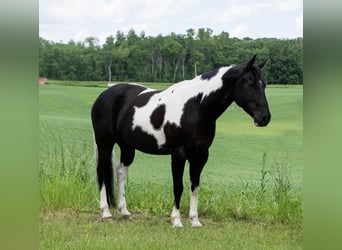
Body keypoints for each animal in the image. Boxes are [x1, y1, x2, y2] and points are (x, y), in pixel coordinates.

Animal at [91, 54, 270, 227]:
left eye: (264, 85)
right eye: (250, 83)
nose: (265, 118)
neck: (195, 107)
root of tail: (105, 95)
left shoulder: (201, 154)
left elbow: (195, 186)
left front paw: (195, 221)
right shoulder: (179, 153)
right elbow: (178, 186)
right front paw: (176, 221)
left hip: (127, 147)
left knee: (120, 172)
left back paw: (125, 212)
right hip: (105, 144)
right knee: (102, 172)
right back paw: (106, 212)